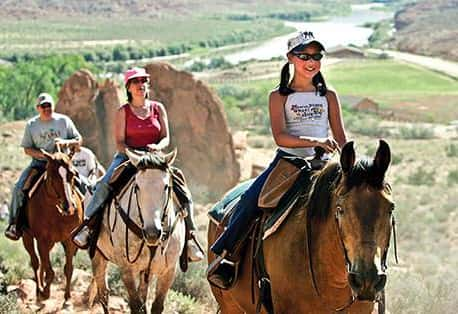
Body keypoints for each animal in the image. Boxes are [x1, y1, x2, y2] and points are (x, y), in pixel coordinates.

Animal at [22, 151, 84, 302]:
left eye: (72, 174)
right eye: (52, 175)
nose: (69, 206)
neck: (57, 212)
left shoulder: (69, 240)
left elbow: (68, 268)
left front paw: (67, 296)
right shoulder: (42, 240)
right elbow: (50, 271)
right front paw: (45, 292)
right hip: (27, 237)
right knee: (35, 262)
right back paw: (39, 289)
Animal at [88, 150, 185, 314]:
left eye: (166, 186)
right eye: (137, 186)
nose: (152, 233)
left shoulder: (169, 271)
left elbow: (155, 306)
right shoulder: (127, 269)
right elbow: (135, 305)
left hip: (145, 271)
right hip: (98, 256)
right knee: (104, 294)